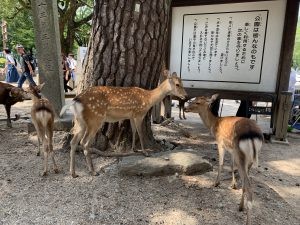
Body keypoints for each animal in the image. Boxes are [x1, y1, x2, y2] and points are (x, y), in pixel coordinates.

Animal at [59, 71, 188, 178]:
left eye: (182, 82)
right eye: (177, 84)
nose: (186, 96)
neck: (149, 99)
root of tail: (76, 100)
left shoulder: (131, 116)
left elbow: (134, 131)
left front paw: (134, 149)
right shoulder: (139, 113)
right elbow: (141, 133)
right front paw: (145, 152)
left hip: (80, 122)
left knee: (73, 142)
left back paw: (73, 173)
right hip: (95, 119)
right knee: (84, 143)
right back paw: (93, 171)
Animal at [184, 94, 264, 225]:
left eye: (197, 102)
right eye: (194, 100)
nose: (185, 108)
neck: (214, 124)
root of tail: (252, 134)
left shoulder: (220, 143)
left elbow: (221, 163)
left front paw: (216, 183)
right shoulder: (231, 150)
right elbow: (231, 165)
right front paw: (233, 185)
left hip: (241, 154)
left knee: (249, 186)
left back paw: (247, 220)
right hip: (249, 157)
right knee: (245, 180)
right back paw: (240, 206)